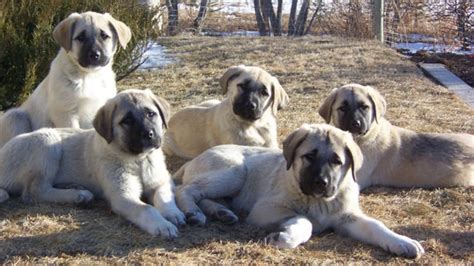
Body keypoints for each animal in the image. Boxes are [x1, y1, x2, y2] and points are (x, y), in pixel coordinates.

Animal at [0, 11, 131, 148]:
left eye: (104, 36)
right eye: (80, 37)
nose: (94, 55)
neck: (89, 77)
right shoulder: (66, 113)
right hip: (14, 117)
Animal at [0, 89, 185, 239]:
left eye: (151, 114)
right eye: (127, 121)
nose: (149, 134)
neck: (138, 160)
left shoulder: (161, 181)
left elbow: (164, 196)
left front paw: (173, 213)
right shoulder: (122, 195)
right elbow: (147, 209)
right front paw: (162, 225)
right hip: (46, 140)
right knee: (34, 191)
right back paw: (78, 195)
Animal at [175, 124, 426, 258]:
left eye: (337, 161)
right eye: (309, 157)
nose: (321, 183)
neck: (320, 202)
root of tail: (194, 160)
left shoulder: (348, 217)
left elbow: (375, 225)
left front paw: (401, 241)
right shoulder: (265, 209)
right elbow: (306, 220)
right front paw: (285, 237)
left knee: (205, 197)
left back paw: (221, 213)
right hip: (235, 171)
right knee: (186, 190)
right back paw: (193, 213)